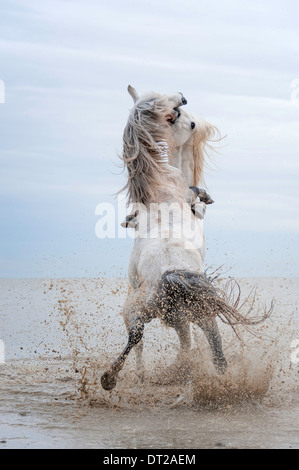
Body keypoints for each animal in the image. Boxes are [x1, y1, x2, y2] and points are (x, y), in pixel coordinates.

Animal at [101, 90, 270, 392]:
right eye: (186, 120)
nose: (183, 97)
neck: (159, 184)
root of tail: (169, 274)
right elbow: (195, 191)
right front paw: (206, 198)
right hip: (186, 313)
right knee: (206, 345)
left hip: (150, 311)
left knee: (141, 336)